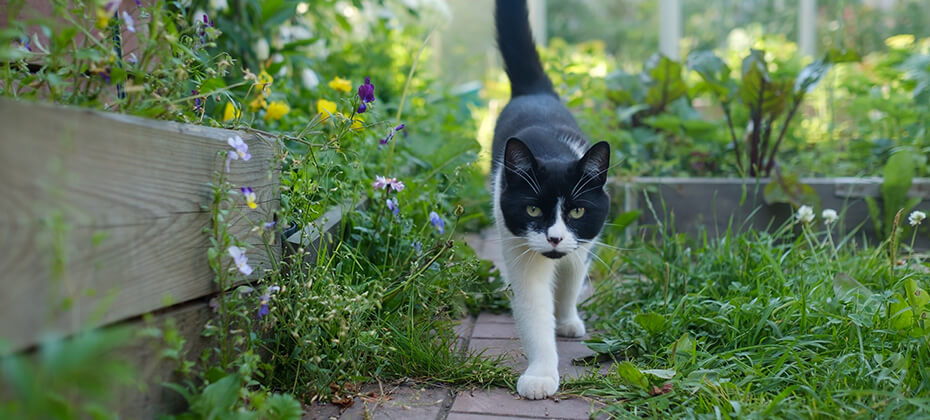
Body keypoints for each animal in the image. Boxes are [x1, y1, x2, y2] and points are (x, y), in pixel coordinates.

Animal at [490, 0, 612, 400]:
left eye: (576, 210)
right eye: (532, 208)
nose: (555, 237)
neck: (552, 150)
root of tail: (535, 92)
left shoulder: (583, 243)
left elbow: (571, 283)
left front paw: (568, 320)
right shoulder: (519, 246)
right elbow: (534, 310)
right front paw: (541, 375)